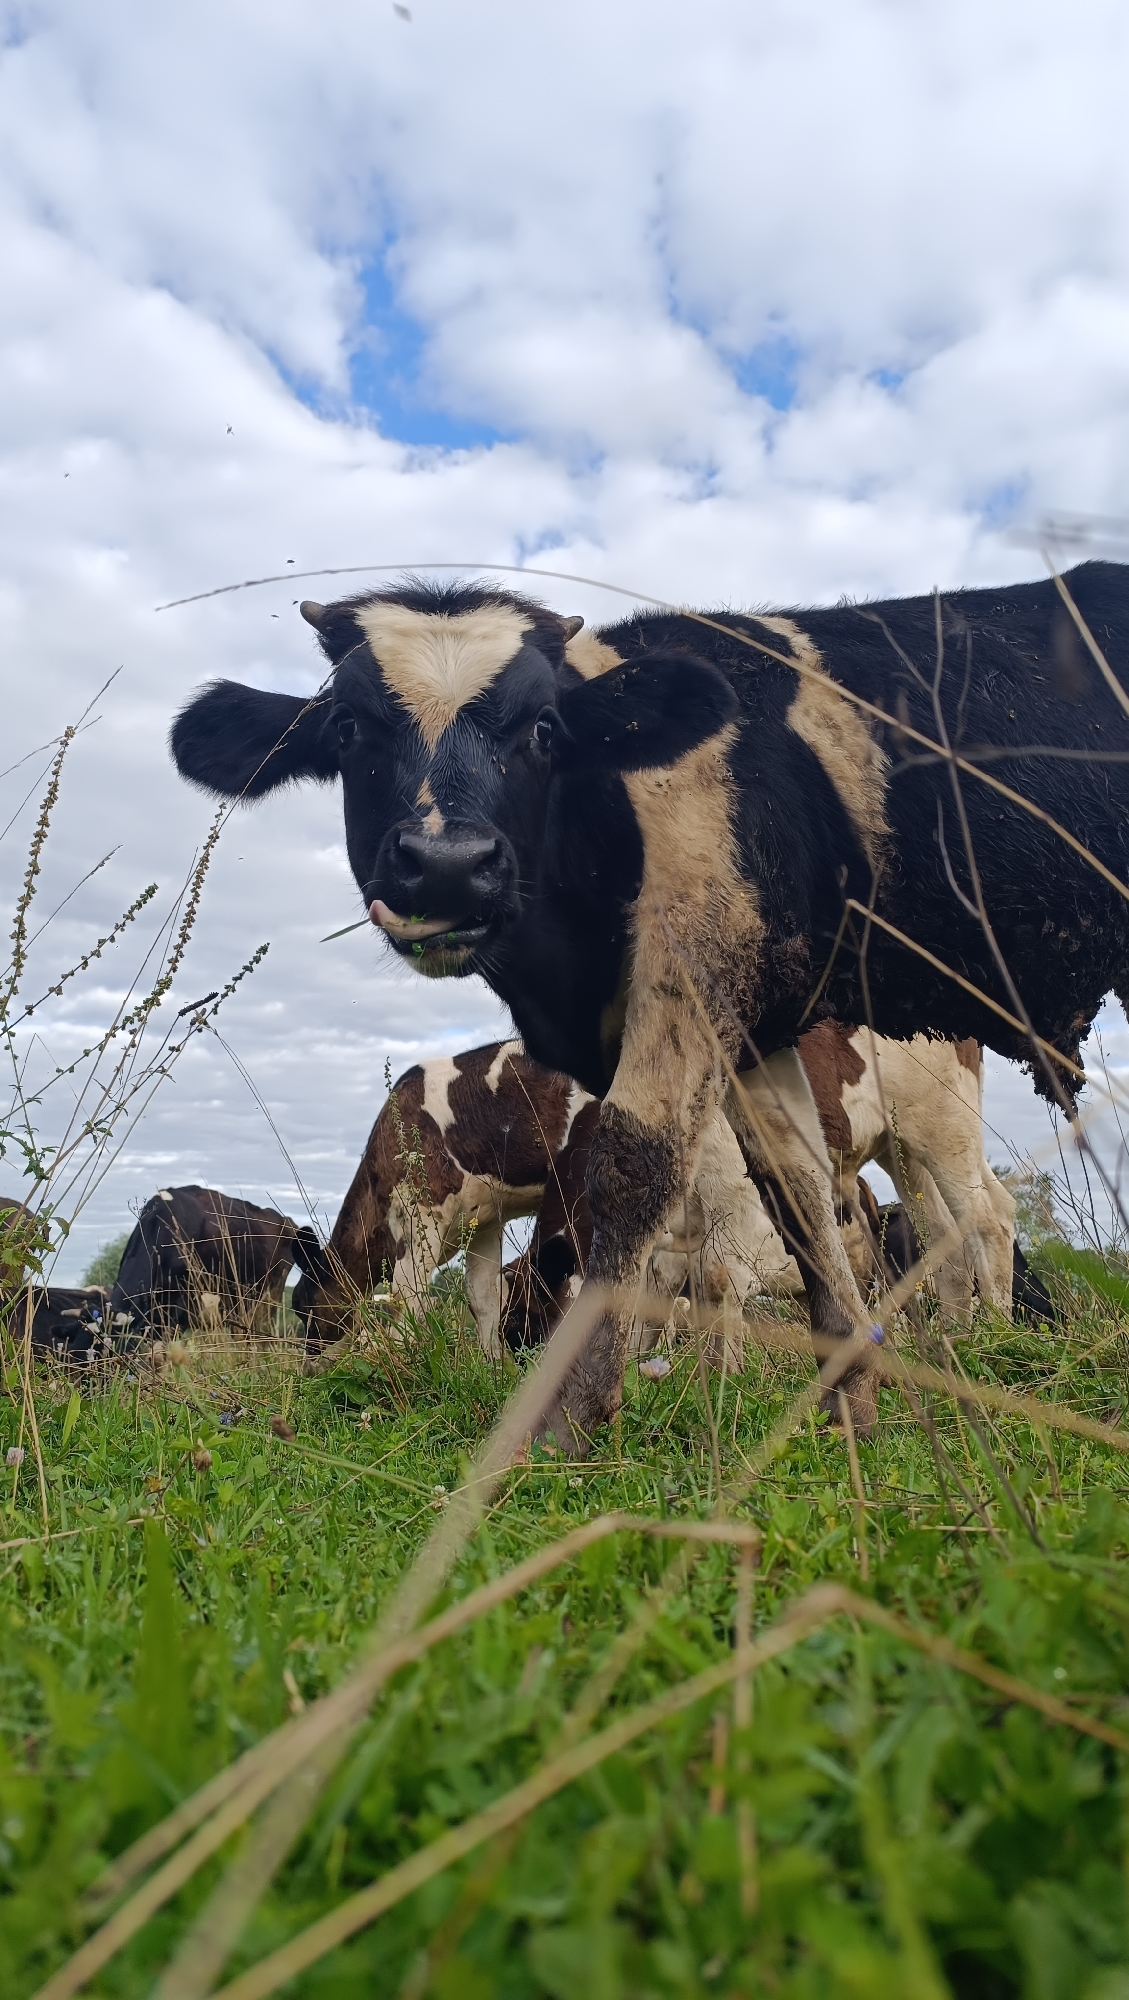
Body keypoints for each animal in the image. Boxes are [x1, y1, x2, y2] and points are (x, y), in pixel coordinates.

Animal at [291, 1041, 592, 1352]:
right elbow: (483, 1297)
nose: (308, 1360)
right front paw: (491, 1363)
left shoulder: (419, 1210)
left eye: (300, 1304)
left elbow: (407, 1298)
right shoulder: (486, 1221)